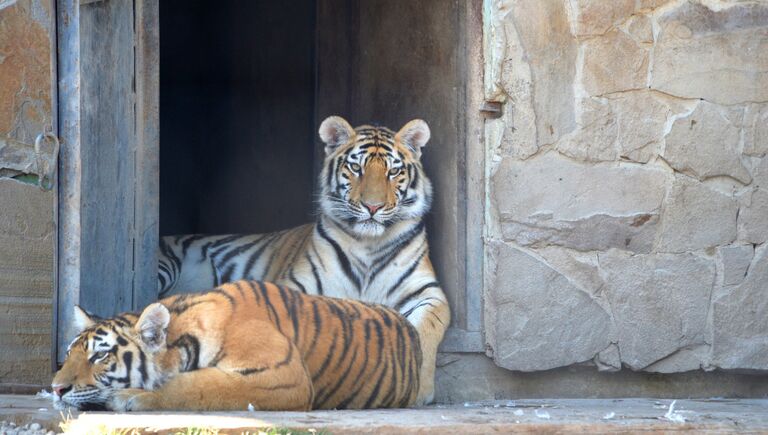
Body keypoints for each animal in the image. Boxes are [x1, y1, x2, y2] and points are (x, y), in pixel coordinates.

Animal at [51, 280, 424, 412]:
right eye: (69, 355)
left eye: (100, 356)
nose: (55, 389)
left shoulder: (282, 375)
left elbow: (198, 385)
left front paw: (130, 398)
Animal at [160, 116, 452, 406]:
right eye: (356, 168)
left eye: (393, 172)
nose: (373, 207)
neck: (368, 244)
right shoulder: (296, 286)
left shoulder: (429, 293)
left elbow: (424, 330)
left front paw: (420, 387)